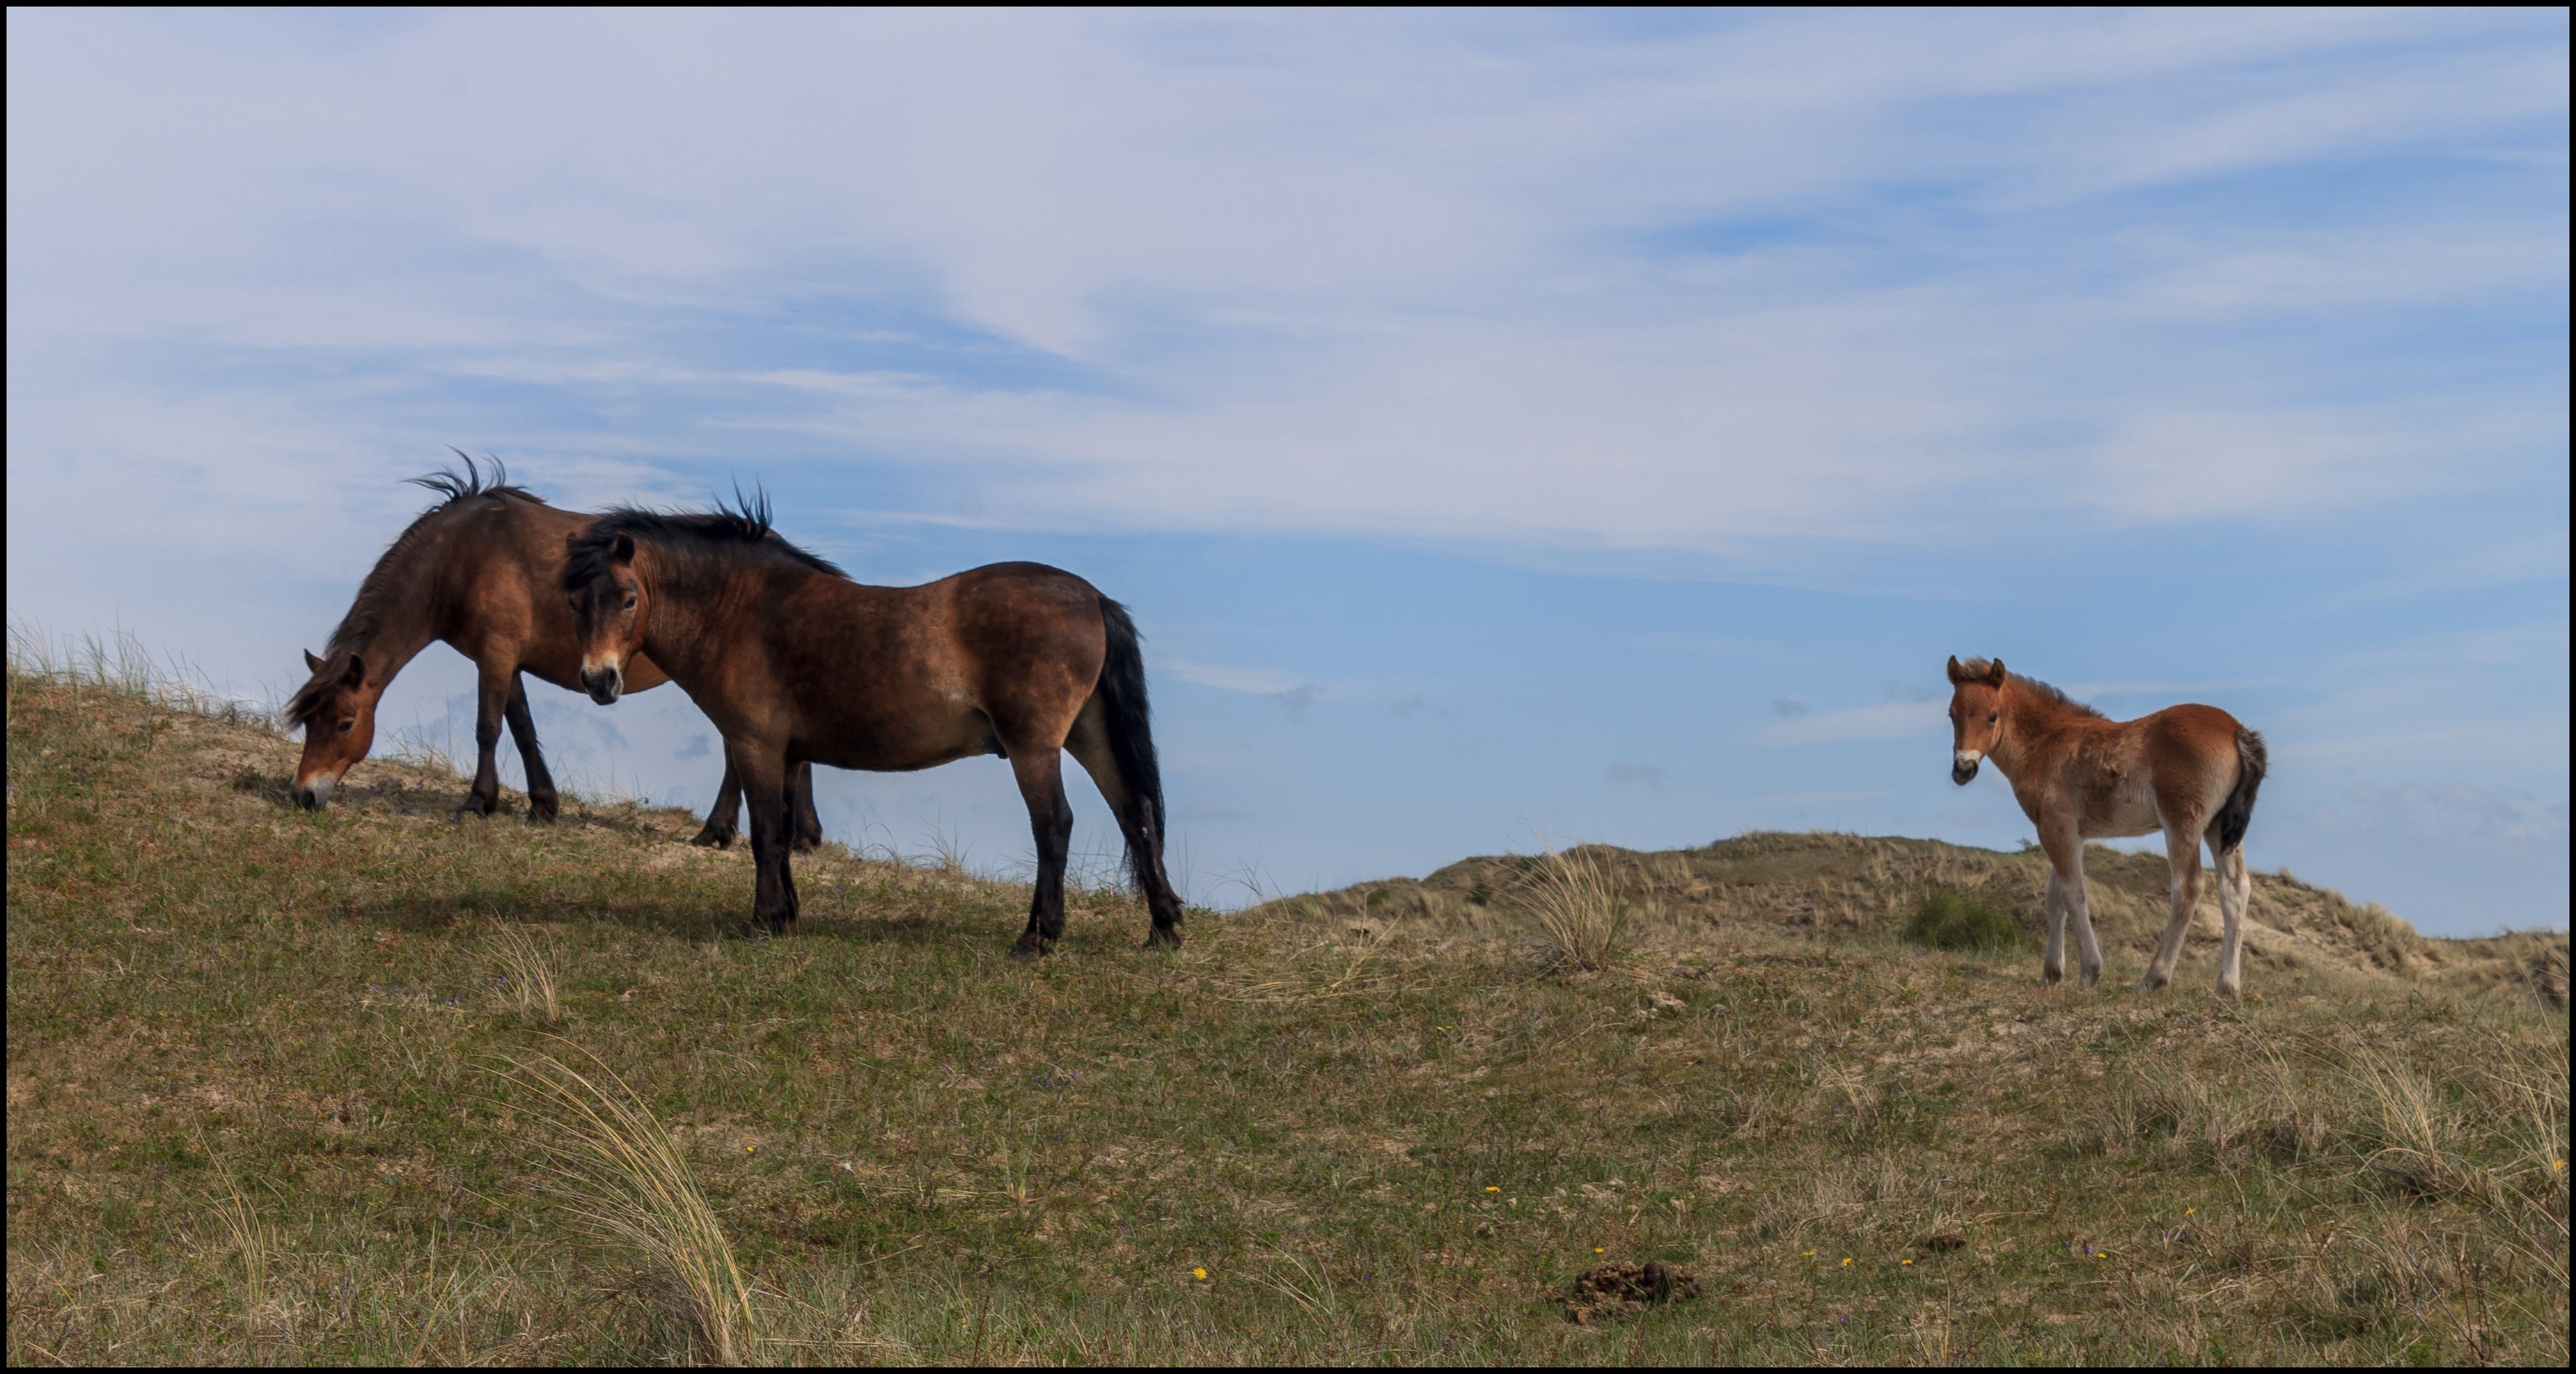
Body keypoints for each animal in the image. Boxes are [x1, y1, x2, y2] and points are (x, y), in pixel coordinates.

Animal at [286, 457, 821, 849]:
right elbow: (522, 728)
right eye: (308, 722)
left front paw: (479, 802)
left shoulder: (496, 654)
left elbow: (488, 727)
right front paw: (543, 805)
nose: (304, 795)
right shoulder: (505, 659)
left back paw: (718, 831)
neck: (462, 556)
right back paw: (802, 836)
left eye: (345, 723)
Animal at [560, 498, 1187, 954]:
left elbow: (766, 835)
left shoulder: (754, 745)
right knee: (1136, 816)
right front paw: (786, 915)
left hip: (1035, 746)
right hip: (1090, 735)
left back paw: (1037, 937)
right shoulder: (789, 754)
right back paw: (1163, 930)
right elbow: (784, 834)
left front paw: (763, 922)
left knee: (1055, 826)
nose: (599, 680)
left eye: (628, 599)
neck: (742, 610)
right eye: (573, 603)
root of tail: (1094, 598)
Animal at [1944, 656, 2268, 997]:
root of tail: (2237, 731)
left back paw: (2154, 978)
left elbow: (2073, 893)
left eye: (1993, 716)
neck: (2045, 742)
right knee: (2235, 889)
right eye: (1951, 714)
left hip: (2182, 823)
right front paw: (2051, 972)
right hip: (2219, 827)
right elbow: (2054, 896)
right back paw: (2227, 986)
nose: (1963, 768)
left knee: (2188, 887)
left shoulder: (2055, 827)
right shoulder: (2068, 832)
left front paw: (2089, 971)